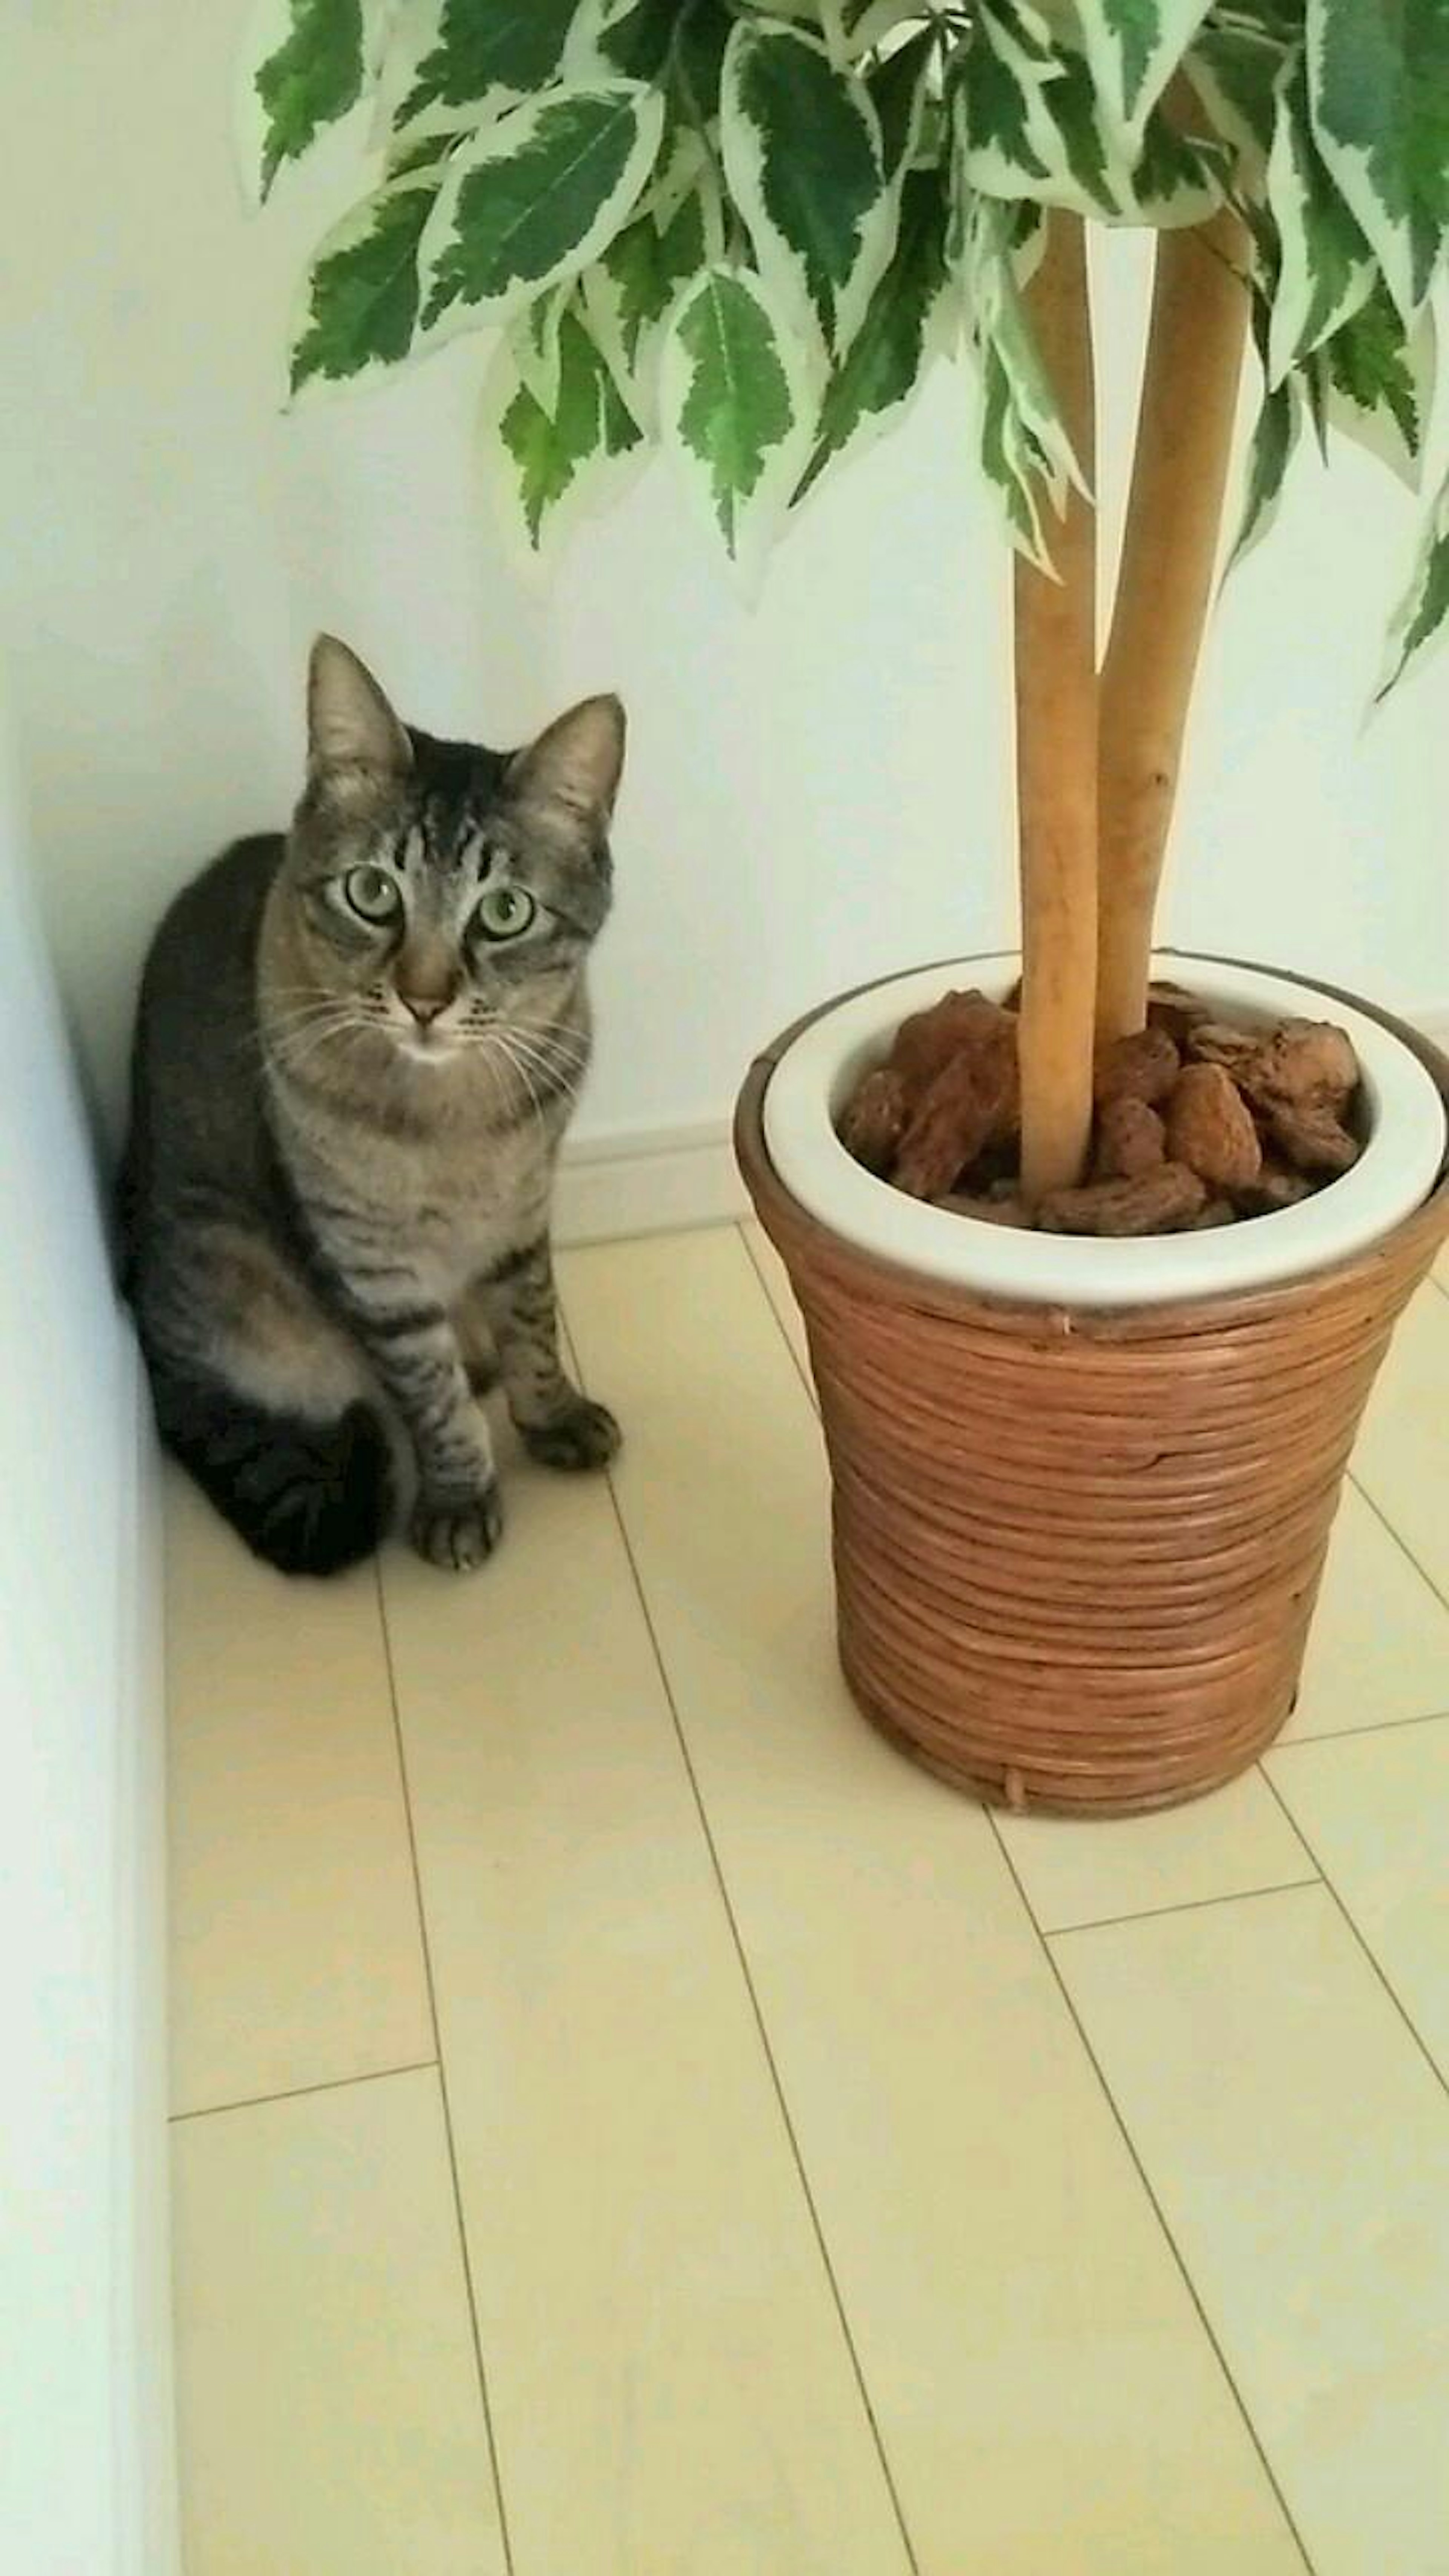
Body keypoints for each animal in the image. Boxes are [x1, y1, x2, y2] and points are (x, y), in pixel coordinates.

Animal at [117, 634, 621, 1576]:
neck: (455, 1117)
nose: (424, 999)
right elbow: (431, 1393)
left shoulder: (523, 1208)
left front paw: (551, 1414)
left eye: (505, 911)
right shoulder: (369, 1265)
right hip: (230, 1267)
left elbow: (533, 1319)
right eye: (373, 892)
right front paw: (460, 1495)